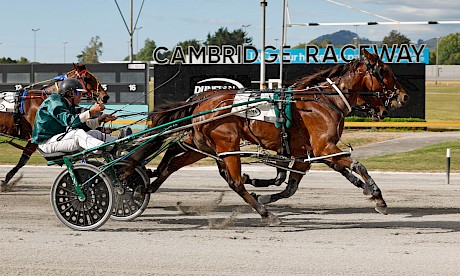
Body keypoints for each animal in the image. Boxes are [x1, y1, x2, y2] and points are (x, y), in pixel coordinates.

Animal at [125, 49, 406, 225]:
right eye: (384, 71)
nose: (402, 96)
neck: (323, 101)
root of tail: (200, 99)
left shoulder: (305, 155)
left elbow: (291, 187)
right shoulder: (324, 147)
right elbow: (358, 165)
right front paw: (377, 196)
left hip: (201, 143)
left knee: (172, 160)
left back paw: (143, 186)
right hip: (227, 143)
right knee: (235, 182)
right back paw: (265, 214)